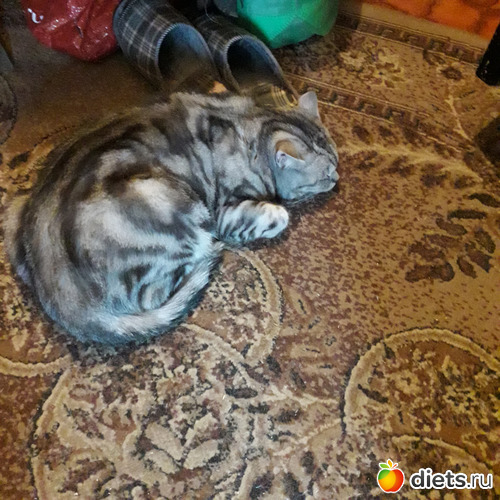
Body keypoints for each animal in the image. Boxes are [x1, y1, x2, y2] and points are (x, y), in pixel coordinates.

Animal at [5, 91, 339, 345]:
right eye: (325, 175)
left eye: (336, 161)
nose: (337, 179)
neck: (250, 124)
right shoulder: (224, 213)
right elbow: (277, 214)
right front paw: (277, 212)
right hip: (177, 209)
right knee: (162, 289)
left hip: (12, 213)